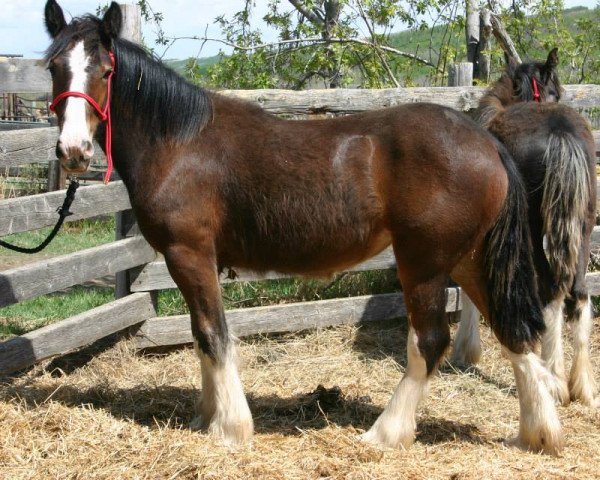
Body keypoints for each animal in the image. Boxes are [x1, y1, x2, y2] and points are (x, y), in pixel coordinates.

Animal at [43, 0, 564, 452]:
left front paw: (230, 428)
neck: (181, 142)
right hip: (470, 260)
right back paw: (537, 433)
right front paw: (206, 417)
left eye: (105, 71)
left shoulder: (189, 254)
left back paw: (386, 433)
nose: (73, 152)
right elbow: (200, 335)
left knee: (430, 342)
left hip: (426, 265)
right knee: (515, 331)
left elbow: (213, 335)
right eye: (53, 68)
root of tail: (487, 141)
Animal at [452, 50, 596, 406]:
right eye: (555, 91)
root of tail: (561, 134)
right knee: (577, 293)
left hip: (533, 229)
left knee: (551, 291)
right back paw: (583, 385)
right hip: (583, 228)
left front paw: (467, 348)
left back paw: (555, 380)